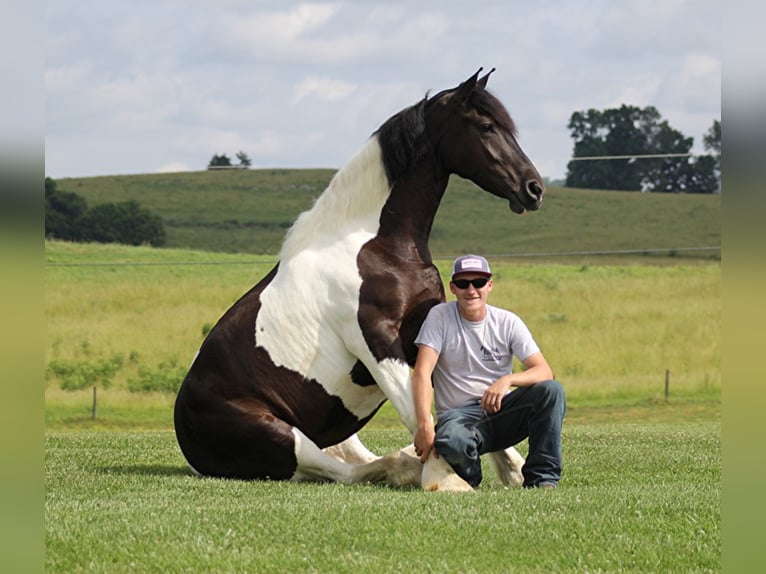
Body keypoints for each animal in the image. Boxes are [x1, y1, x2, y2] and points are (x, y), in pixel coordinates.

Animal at [174, 70, 544, 492]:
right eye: (486, 127)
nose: (534, 188)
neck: (375, 245)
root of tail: (184, 426)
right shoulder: (377, 340)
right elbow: (419, 417)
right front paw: (445, 477)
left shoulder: (428, 335)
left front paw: (514, 472)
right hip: (280, 435)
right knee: (343, 471)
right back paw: (406, 469)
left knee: (354, 459)